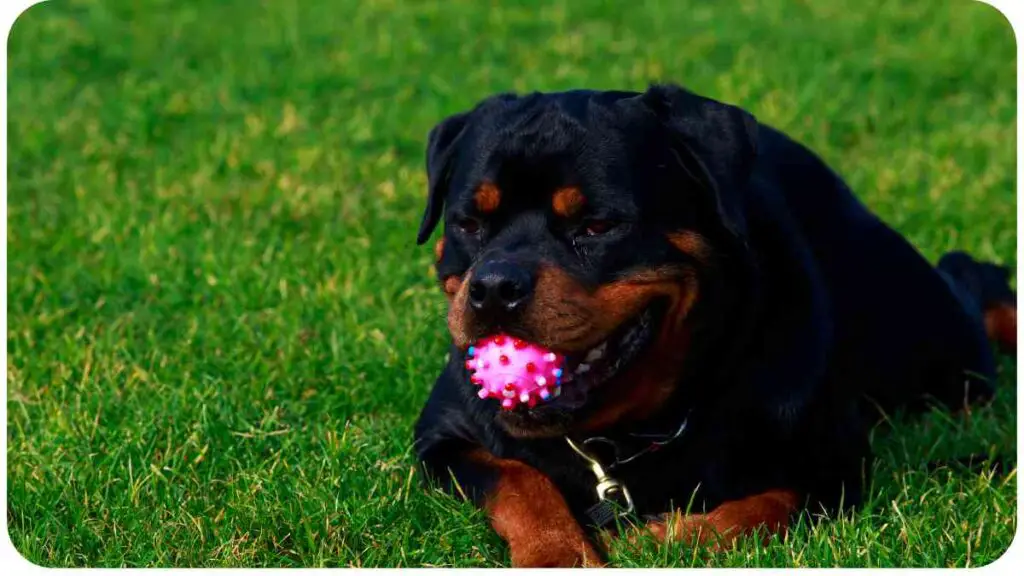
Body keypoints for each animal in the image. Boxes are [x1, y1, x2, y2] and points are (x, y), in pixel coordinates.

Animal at [409, 85, 1015, 565]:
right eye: (468, 223)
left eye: (598, 225)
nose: (494, 287)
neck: (630, 429)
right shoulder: (442, 438)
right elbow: (519, 480)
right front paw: (558, 554)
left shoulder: (835, 462)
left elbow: (767, 503)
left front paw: (654, 539)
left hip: (937, 346)